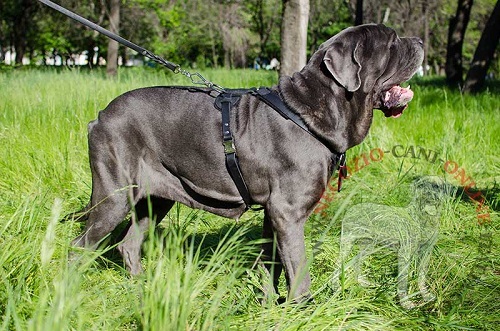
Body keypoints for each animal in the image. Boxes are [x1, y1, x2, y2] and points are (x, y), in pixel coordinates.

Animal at [68, 24, 424, 302]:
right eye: (392, 43)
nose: (420, 42)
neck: (317, 109)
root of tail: (100, 116)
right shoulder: (288, 212)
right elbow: (299, 271)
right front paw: (303, 310)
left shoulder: (273, 213)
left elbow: (272, 263)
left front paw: (270, 304)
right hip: (114, 195)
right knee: (79, 246)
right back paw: (68, 295)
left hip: (154, 199)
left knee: (128, 244)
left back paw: (141, 288)